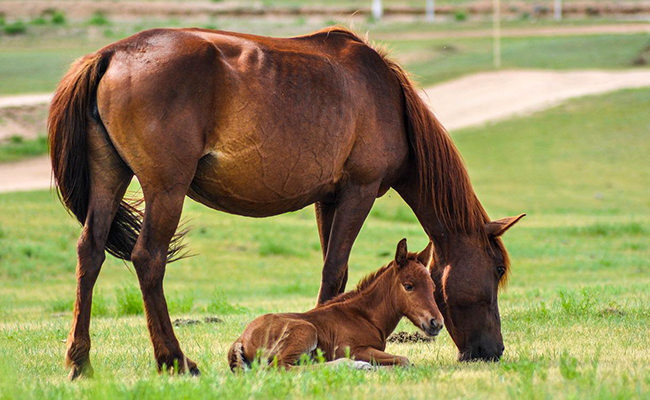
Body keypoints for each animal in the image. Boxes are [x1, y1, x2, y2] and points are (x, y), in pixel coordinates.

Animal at [227, 238, 440, 372]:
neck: (364, 316)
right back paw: (354, 365)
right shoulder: (353, 349)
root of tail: (241, 339)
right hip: (306, 331)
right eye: (408, 286)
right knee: (280, 367)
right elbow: (404, 360)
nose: (436, 323)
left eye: (433, 286)